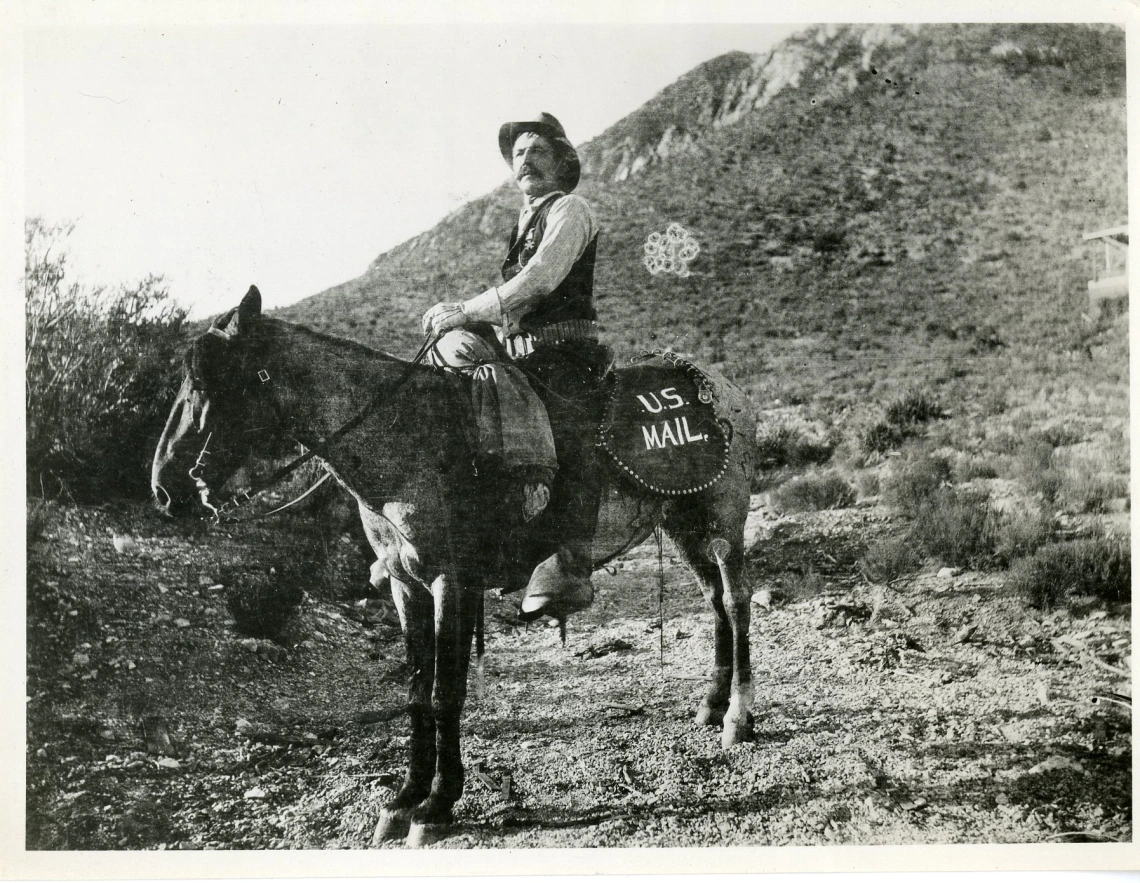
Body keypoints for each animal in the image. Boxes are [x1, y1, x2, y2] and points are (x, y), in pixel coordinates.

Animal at [151, 287, 756, 847]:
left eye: (208, 380)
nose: (164, 488)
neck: (407, 440)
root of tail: (722, 387)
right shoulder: (405, 585)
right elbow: (418, 692)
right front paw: (404, 798)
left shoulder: (452, 581)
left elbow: (447, 691)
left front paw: (438, 805)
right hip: (681, 520)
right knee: (712, 603)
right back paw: (710, 706)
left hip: (723, 521)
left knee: (734, 600)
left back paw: (738, 719)